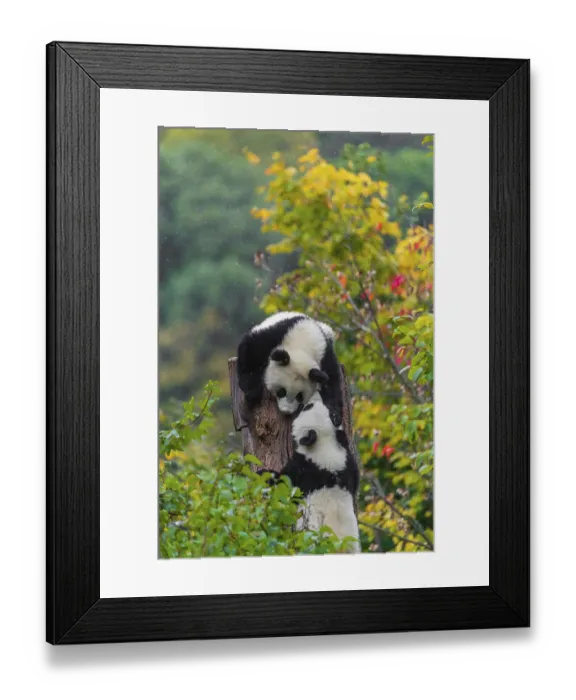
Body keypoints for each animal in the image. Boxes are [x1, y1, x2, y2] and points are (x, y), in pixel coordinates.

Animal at [257, 392, 361, 553]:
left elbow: (283, 485)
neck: (325, 445)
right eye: (330, 410)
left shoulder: (303, 468)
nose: (315, 395)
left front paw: (263, 474)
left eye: (307, 407)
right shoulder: (347, 464)